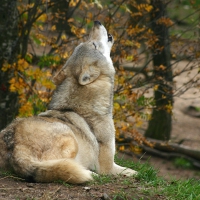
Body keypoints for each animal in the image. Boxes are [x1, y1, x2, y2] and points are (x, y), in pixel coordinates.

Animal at [0, 21, 138, 184]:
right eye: (93, 45)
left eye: (85, 43)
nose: (96, 22)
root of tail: (15, 149)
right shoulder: (108, 167)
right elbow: (129, 170)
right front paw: (135, 173)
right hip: (70, 139)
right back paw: (89, 174)